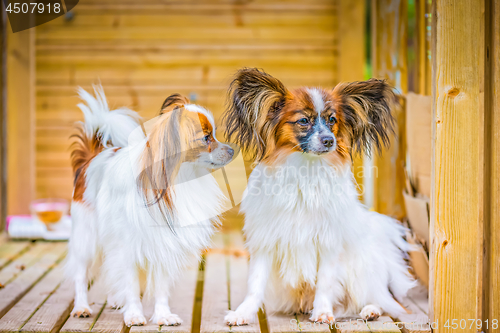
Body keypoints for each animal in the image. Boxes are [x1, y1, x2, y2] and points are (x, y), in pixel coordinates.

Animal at [65, 84, 234, 326]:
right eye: (206, 137)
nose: (231, 150)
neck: (179, 177)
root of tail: (91, 159)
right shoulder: (127, 246)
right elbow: (131, 283)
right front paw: (134, 314)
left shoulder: (163, 242)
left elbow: (160, 287)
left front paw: (163, 315)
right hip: (86, 238)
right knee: (81, 275)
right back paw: (81, 307)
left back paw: (115, 300)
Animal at [223, 68, 414, 324]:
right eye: (304, 121)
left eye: (332, 120)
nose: (329, 141)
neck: (306, 168)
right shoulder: (266, 239)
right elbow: (255, 283)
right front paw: (243, 313)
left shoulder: (328, 242)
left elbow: (325, 281)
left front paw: (323, 312)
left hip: (360, 271)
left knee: (382, 301)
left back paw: (370, 310)